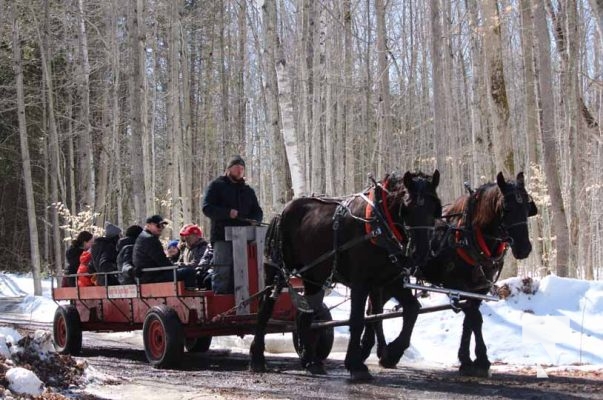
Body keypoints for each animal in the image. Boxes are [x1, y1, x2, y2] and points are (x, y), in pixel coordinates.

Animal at [248, 170, 442, 382]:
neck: (378, 224)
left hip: (314, 276)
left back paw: (310, 361)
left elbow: (408, 310)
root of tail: (282, 212)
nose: (420, 253)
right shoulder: (360, 282)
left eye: (434, 207)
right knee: (265, 309)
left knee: (304, 316)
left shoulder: (390, 281)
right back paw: (257, 358)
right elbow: (357, 320)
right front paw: (356, 365)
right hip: (277, 272)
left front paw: (391, 353)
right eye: (406, 206)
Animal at [360, 173, 540, 378]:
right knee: (374, 310)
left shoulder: (479, 289)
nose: (524, 248)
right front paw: (480, 360)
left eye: (527, 207)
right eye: (507, 208)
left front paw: (468, 360)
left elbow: (470, 322)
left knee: (374, 310)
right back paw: (383, 351)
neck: (470, 236)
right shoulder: (456, 285)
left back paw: (380, 349)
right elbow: (475, 318)